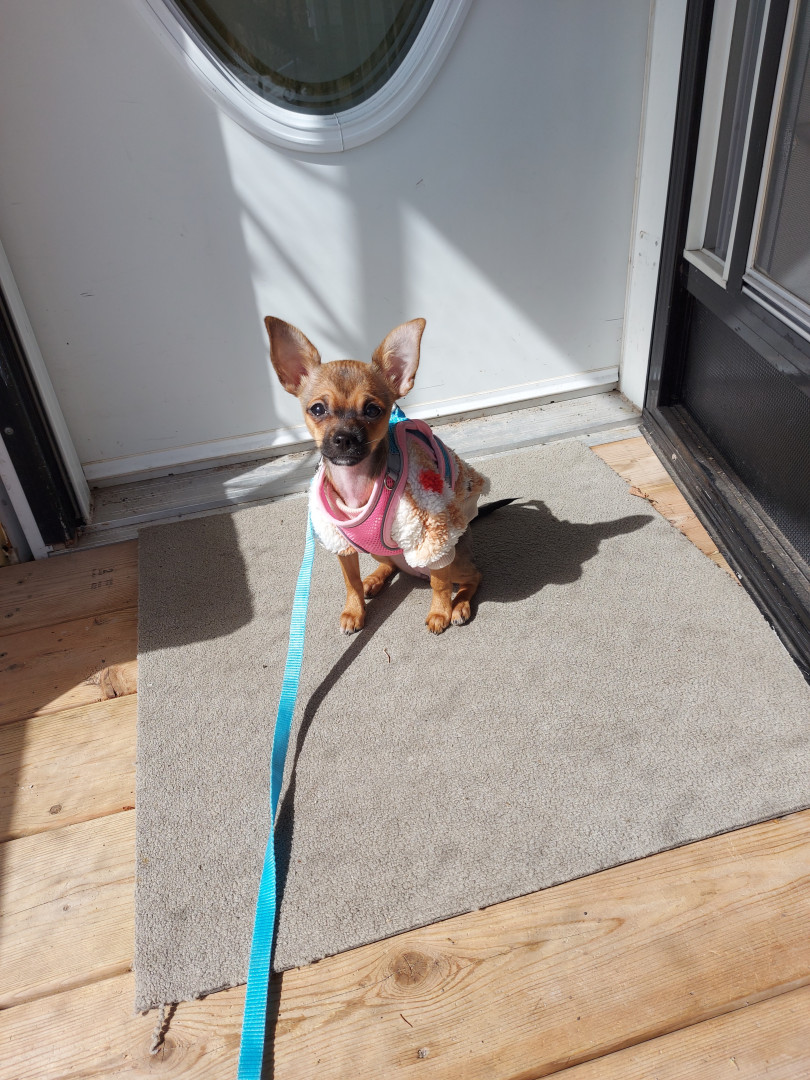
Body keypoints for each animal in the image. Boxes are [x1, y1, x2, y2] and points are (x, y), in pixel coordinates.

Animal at [265, 316, 490, 634]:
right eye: (317, 409)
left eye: (372, 410)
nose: (344, 438)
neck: (356, 482)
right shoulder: (342, 545)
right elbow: (351, 582)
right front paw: (354, 610)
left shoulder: (435, 539)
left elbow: (440, 583)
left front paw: (440, 612)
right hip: (378, 551)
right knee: (392, 565)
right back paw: (374, 579)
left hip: (456, 556)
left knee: (472, 575)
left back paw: (459, 605)